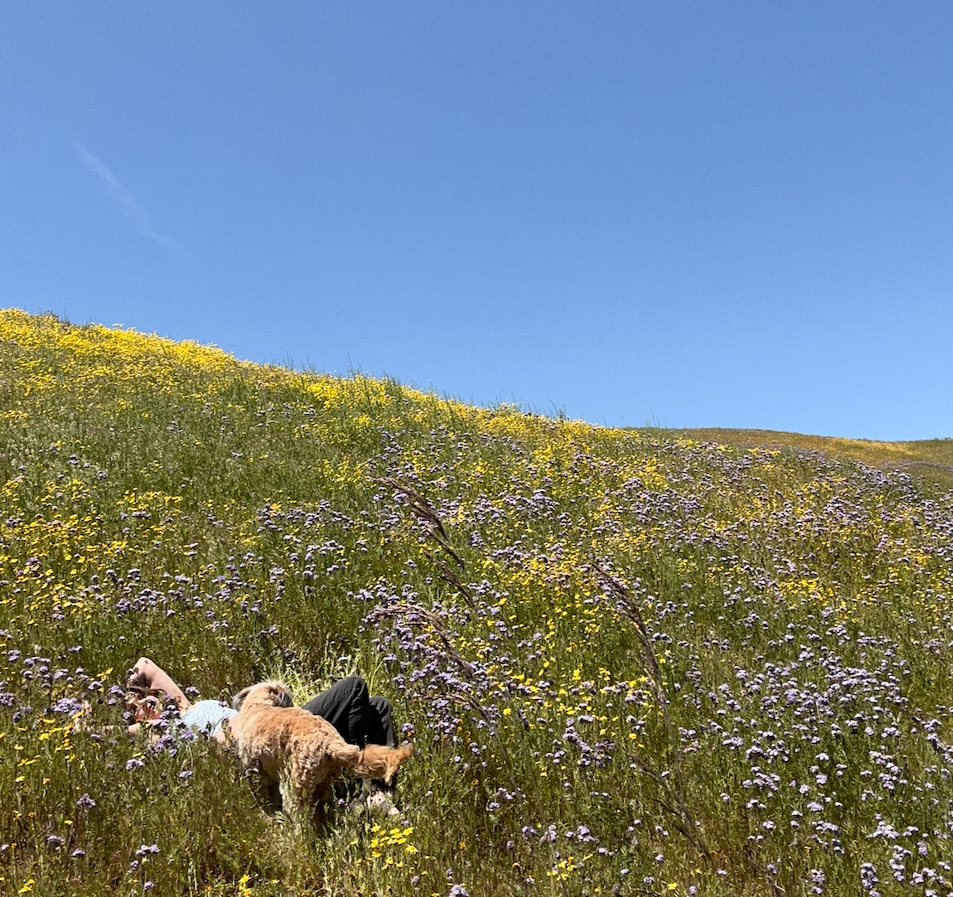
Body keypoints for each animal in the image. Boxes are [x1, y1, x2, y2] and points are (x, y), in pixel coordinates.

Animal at [231, 684, 412, 828]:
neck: (258, 706)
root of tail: (330, 741)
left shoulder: (255, 770)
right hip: (323, 784)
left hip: (296, 788)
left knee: (302, 818)